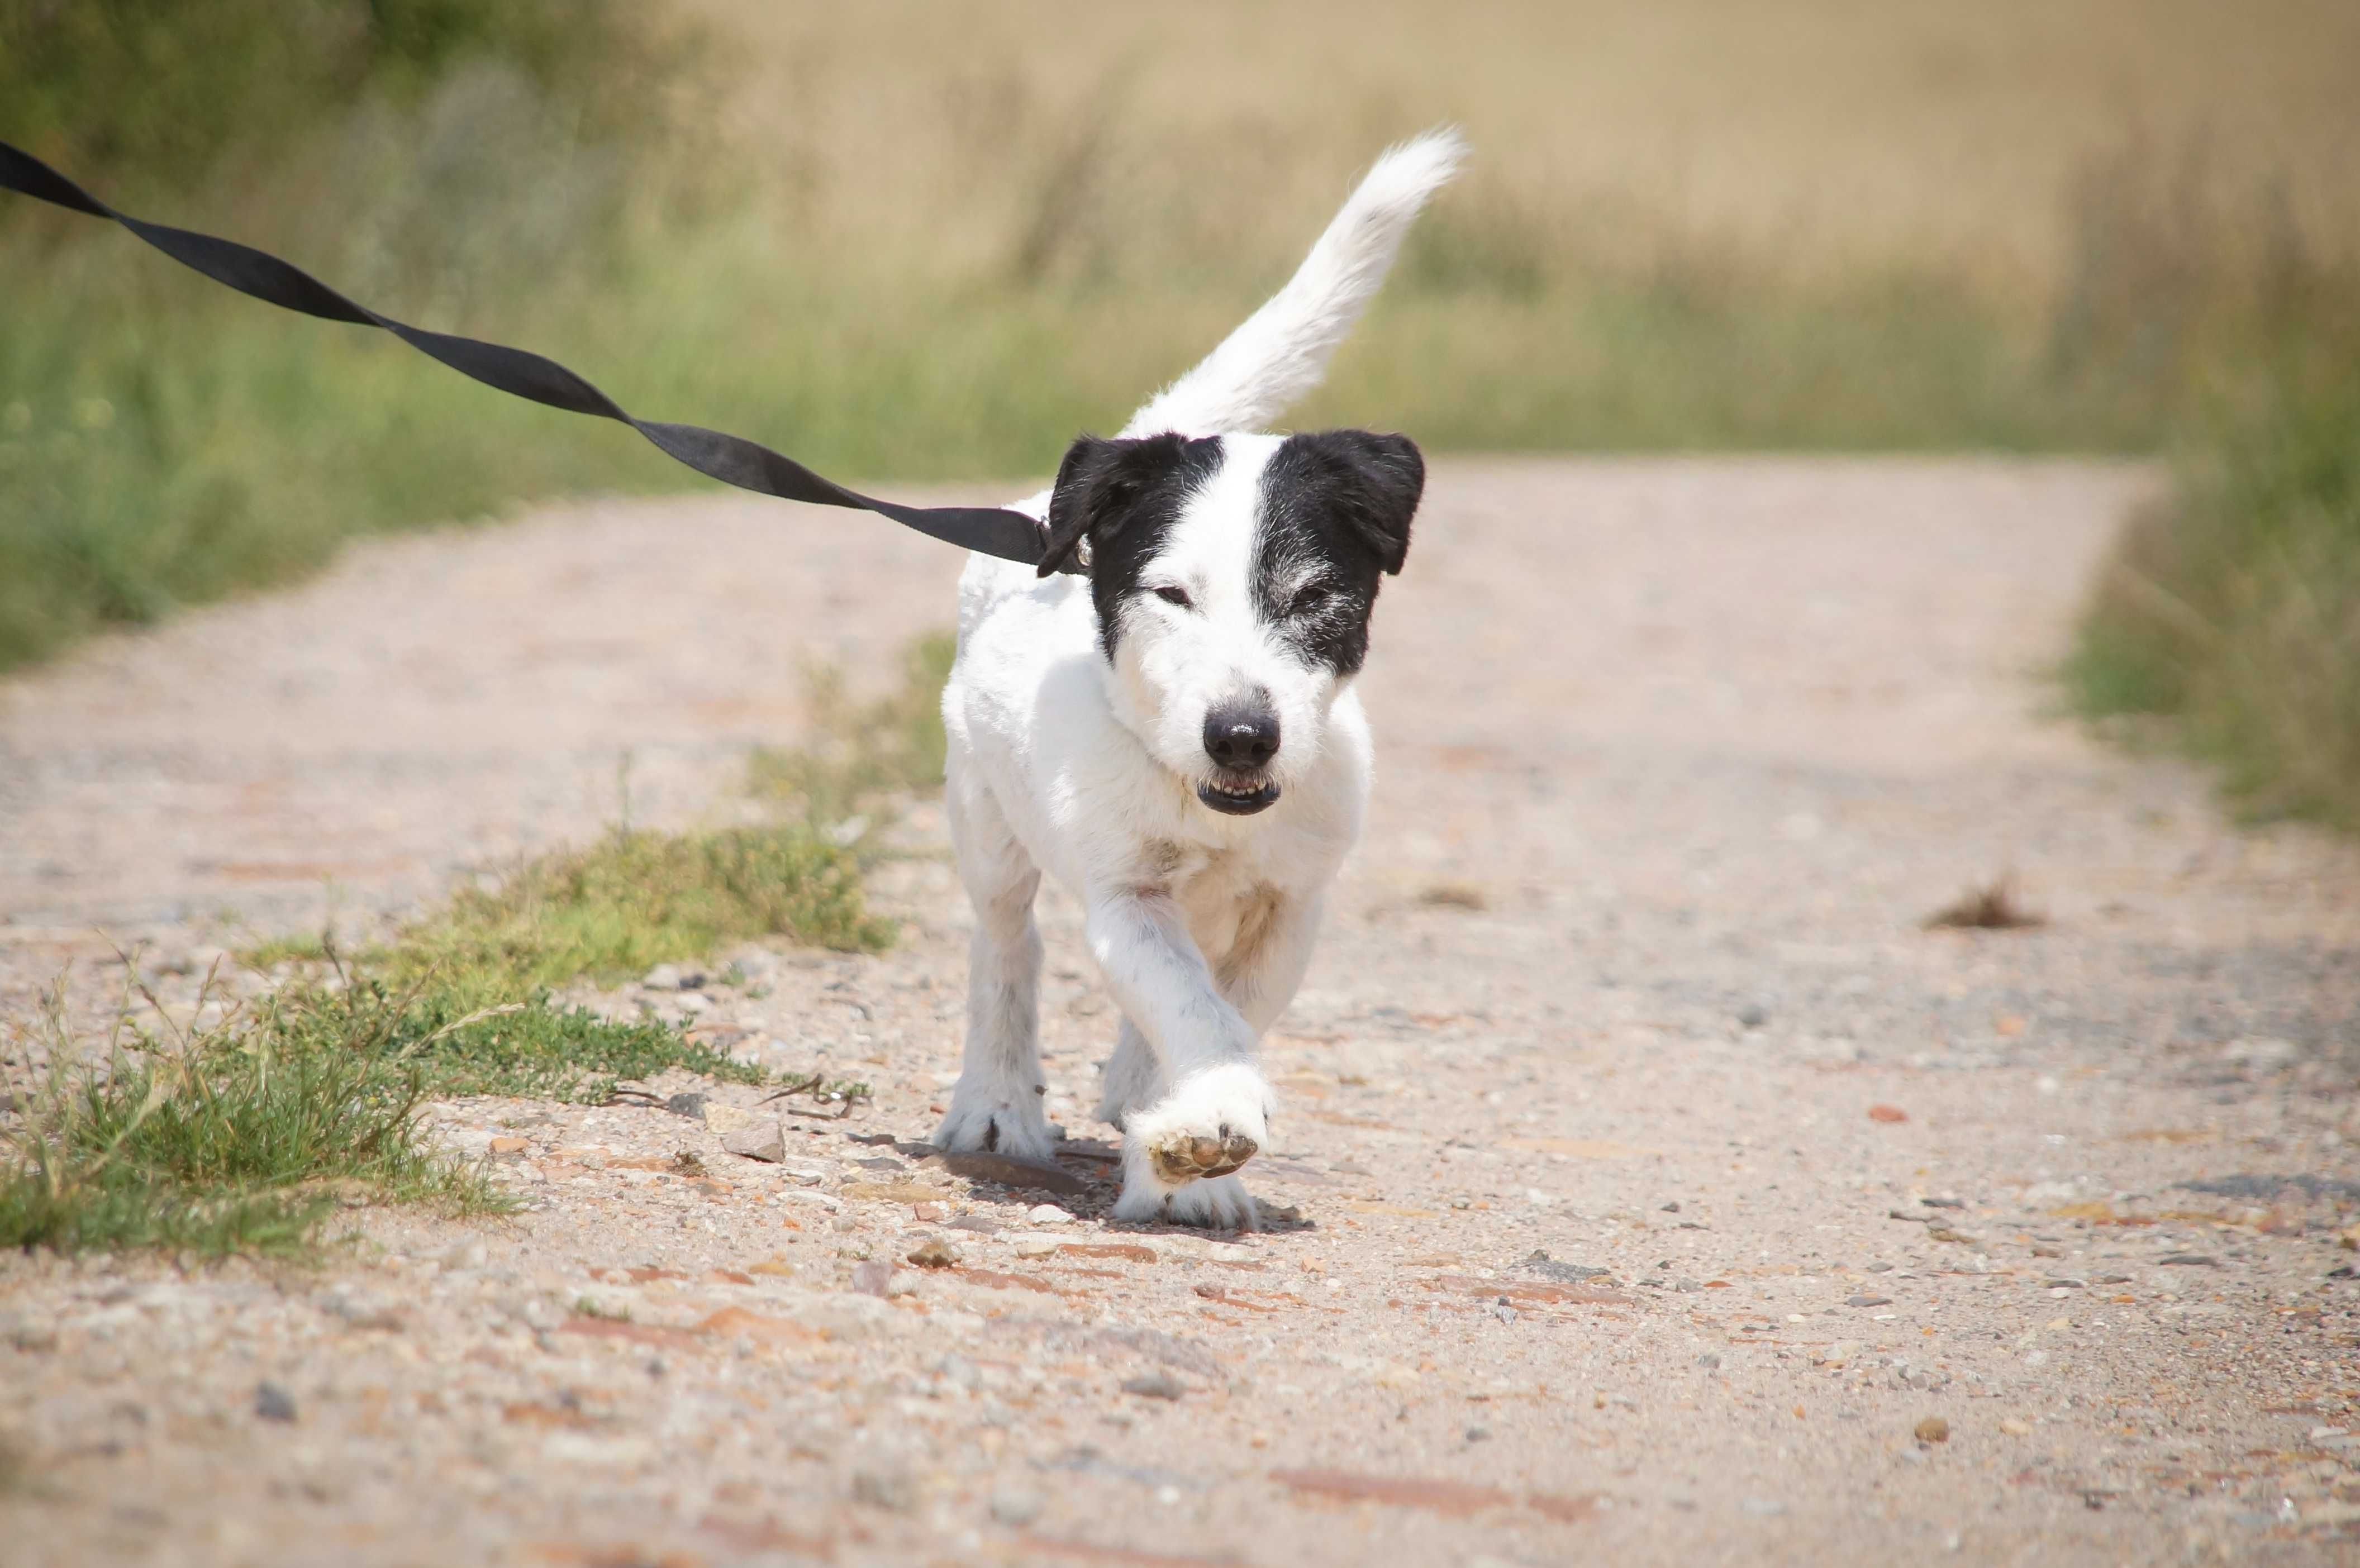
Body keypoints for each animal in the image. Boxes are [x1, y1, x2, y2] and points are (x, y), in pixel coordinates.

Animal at [925, 128, 1453, 1226]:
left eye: (1311, 595)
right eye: (1169, 594)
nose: (1241, 737)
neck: (1205, 801)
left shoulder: (1292, 904)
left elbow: (1223, 1008)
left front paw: (1179, 1142)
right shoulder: (1123, 890)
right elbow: (1190, 1006)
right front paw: (1205, 1119)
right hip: (982, 818)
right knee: (1006, 948)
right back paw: (998, 1102)